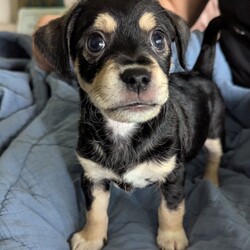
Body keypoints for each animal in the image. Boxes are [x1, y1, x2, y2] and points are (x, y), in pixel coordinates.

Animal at [32, 0, 225, 249]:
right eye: (95, 42)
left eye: (158, 39)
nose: (137, 77)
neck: (124, 128)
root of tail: (201, 73)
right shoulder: (93, 177)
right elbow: (95, 211)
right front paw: (90, 238)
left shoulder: (173, 174)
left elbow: (171, 209)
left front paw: (172, 237)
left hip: (215, 133)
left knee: (214, 157)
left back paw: (211, 181)